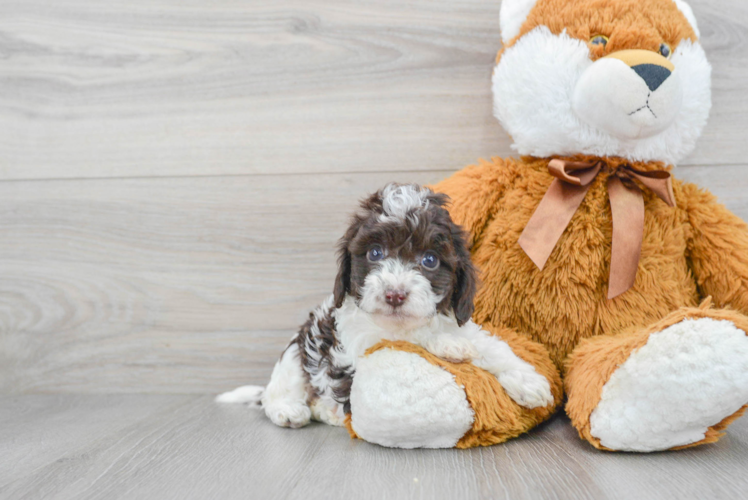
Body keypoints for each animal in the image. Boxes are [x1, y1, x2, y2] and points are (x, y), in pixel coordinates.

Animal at [213, 184, 552, 426]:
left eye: (430, 260)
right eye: (375, 253)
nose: (395, 295)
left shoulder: (460, 322)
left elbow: (490, 346)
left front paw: (528, 380)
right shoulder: (361, 341)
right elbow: (415, 338)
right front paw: (449, 345)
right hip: (299, 348)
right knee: (282, 387)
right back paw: (291, 410)